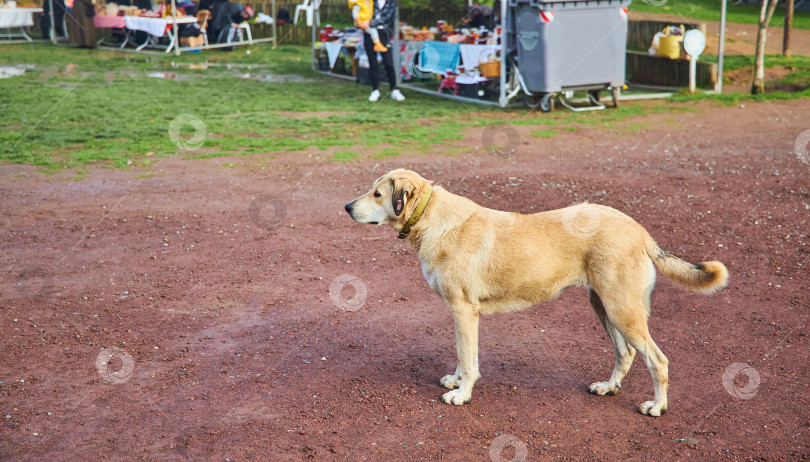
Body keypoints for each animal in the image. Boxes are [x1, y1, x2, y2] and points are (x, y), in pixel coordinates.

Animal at [340, 169, 724, 416]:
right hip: (604, 307)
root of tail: (639, 228)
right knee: (626, 353)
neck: (431, 215)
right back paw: (608, 387)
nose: (346, 207)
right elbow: (462, 355)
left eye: (377, 194)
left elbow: (469, 358)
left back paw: (657, 406)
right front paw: (456, 381)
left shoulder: (464, 311)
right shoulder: (459, 313)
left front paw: (462, 394)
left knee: (657, 360)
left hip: (621, 310)